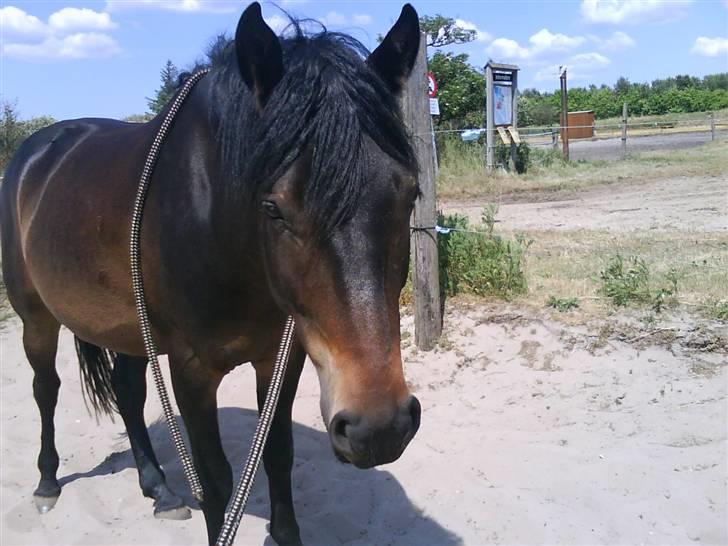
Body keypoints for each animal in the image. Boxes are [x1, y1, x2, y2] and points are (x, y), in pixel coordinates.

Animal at [1, 4, 420, 544]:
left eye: (410, 194)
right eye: (273, 208)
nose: (379, 428)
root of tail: (37, 151)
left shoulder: (280, 358)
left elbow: (277, 453)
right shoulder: (192, 371)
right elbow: (216, 480)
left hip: (128, 326)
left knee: (128, 393)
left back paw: (158, 488)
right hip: (36, 317)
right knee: (46, 388)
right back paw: (48, 483)